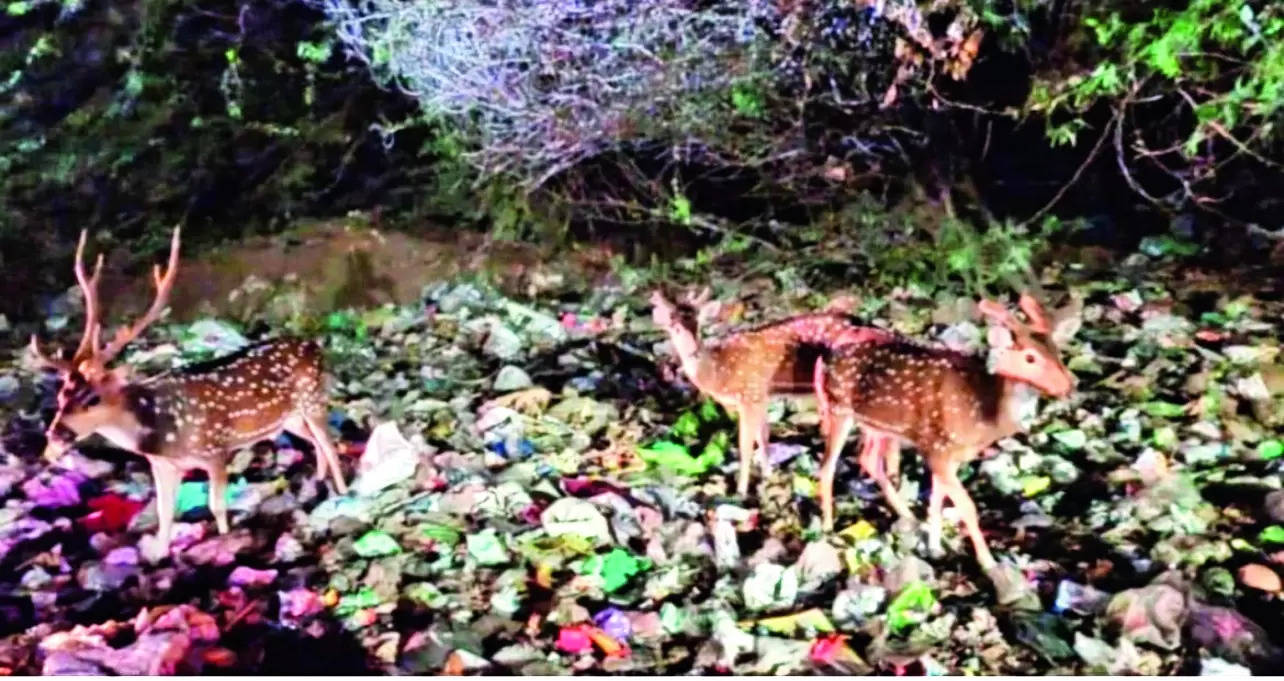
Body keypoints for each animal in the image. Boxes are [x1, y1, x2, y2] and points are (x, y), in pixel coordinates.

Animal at [31, 224, 346, 547]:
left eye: (93, 398)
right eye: (61, 395)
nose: (55, 435)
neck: (160, 431)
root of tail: (314, 345)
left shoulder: (215, 450)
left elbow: (216, 507)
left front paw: (225, 538)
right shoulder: (161, 465)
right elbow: (164, 515)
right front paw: (161, 551)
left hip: (313, 398)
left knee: (330, 442)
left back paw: (344, 493)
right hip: (290, 418)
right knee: (313, 440)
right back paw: (320, 481)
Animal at [811, 289, 1083, 570]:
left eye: (1057, 352)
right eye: (1030, 357)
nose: (1069, 385)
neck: (985, 416)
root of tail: (825, 358)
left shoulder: (952, 454)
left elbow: (937, 499)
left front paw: (934, 546)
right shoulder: (937, 449)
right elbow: (967, 506)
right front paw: (987, 561)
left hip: (878, 426)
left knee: (870, 460)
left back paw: (907, 515)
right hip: (839, 409)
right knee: (828, 465)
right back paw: (829, 527)